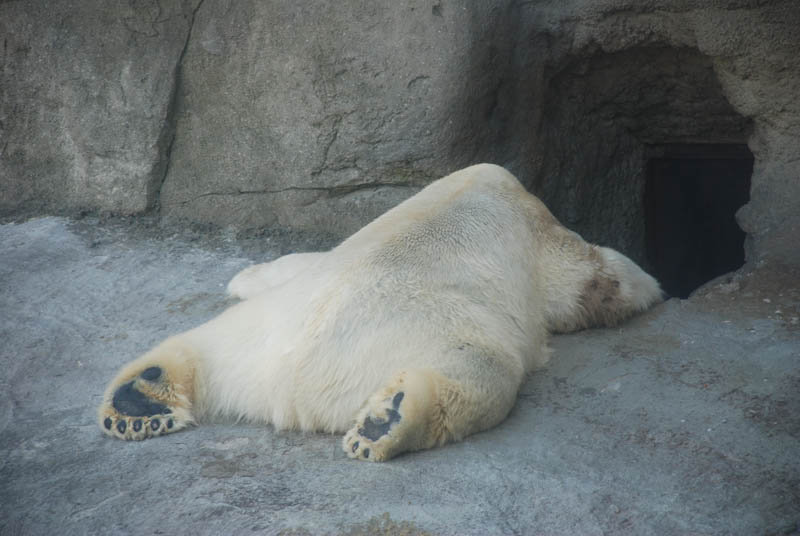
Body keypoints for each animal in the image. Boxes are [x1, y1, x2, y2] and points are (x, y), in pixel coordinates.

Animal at [97, 164, 662, 461]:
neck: (482, 183)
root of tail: (290, 384)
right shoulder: (539, 232)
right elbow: (590, 277)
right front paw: (645, 288)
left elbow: (295, 259)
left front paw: (245, 274)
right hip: (430, 330)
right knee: (481, 372)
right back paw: (387, 421)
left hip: (254, 334)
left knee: (200, 345)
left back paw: (139, 396)